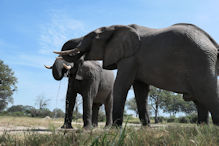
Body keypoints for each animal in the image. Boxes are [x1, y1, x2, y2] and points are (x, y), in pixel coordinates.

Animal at [54, 23, 219, 126]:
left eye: (94, 36)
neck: (117, 27)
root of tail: (213, 44)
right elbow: (141, 90)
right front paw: (146, 128)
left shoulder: (130, 58)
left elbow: (122, 85)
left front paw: (115, 130)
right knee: (200, 100)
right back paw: (202, 129)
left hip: (200, 62)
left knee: (208, 93)